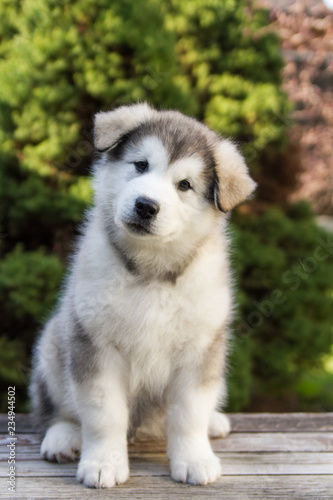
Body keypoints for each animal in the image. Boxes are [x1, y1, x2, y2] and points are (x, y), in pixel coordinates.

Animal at [29, 102, 255, 488]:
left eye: (184, 185)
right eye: (140, 165)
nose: (146, 205)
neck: (152, 270)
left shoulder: (200, 348)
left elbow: (189, 413)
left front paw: (194, 458)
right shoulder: (96, 343)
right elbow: (103, 413)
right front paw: (103, 462)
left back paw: (215, 422)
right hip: (53, 347)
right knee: (57, 410)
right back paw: (62, 437)